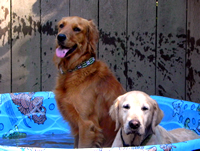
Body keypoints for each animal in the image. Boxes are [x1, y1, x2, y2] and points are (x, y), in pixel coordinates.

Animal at [53, 16, 125, 147]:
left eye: (77, 29)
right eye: (61, 25)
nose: (60, 37)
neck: (76, 69)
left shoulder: (86, 125)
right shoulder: (77, 127)